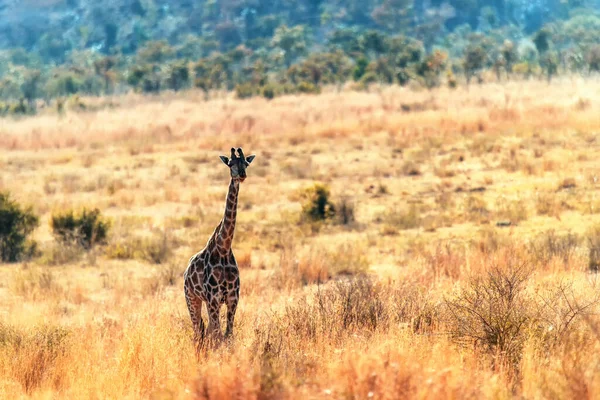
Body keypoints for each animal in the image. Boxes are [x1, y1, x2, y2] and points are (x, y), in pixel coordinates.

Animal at [185, 147, 255, 346]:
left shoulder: (233, 298)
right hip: (192, 298)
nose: (241, 175)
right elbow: (217, 335)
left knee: (206, 331)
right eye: (230, 164)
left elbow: (228, 335)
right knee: (198, 332)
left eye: (246, 163)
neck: (223, 248)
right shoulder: (213, 299)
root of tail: (186, 271)